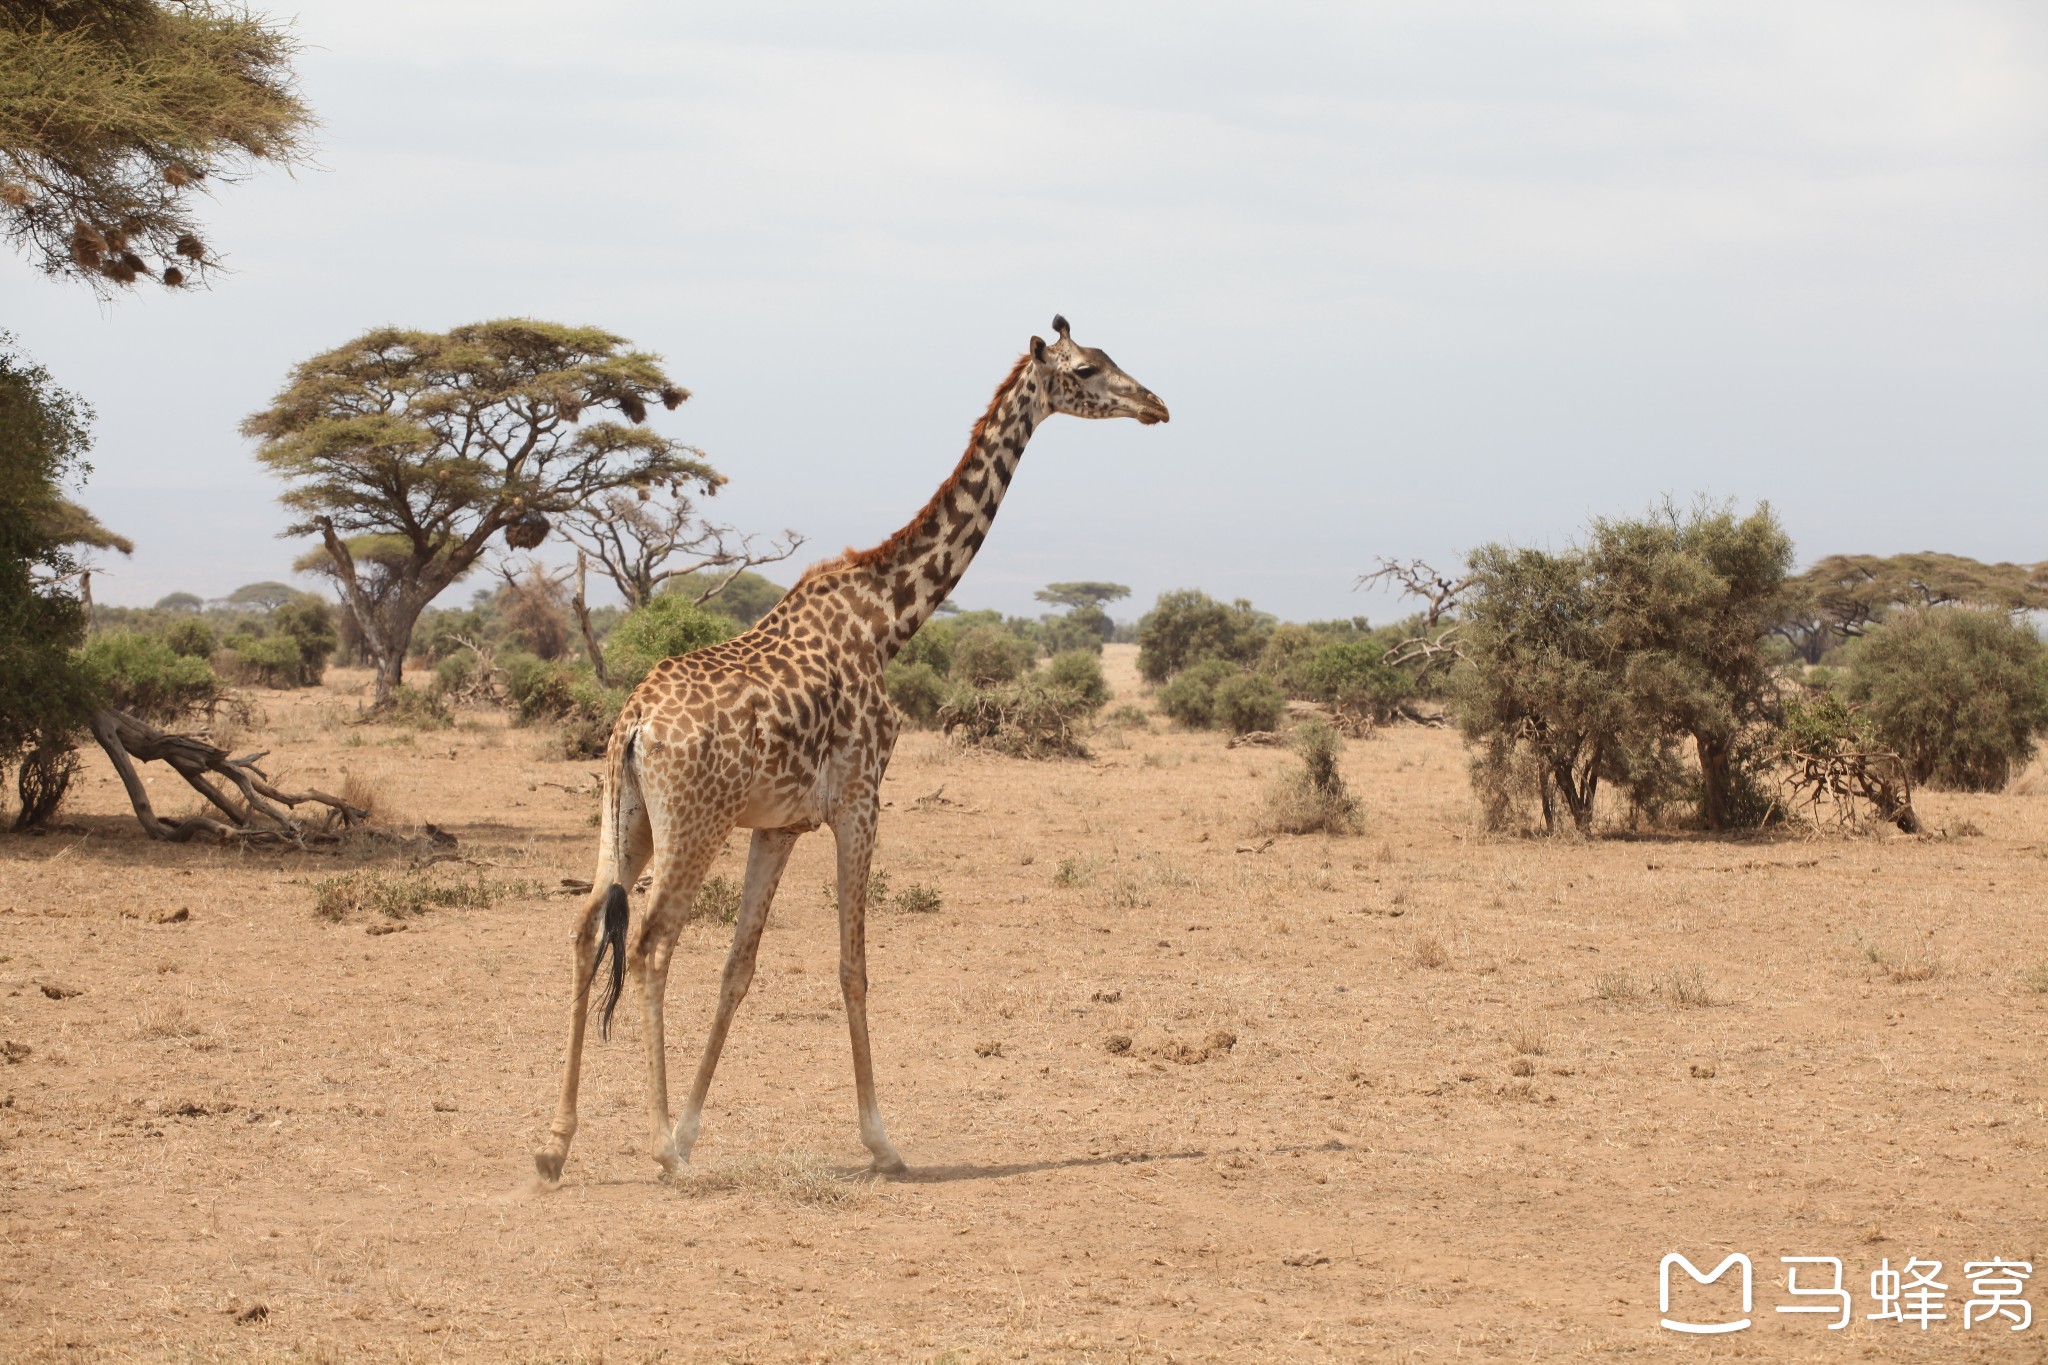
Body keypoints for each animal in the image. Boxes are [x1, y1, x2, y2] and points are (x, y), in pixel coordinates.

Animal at [532, 315, 1171, 1178]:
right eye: (1086, 369)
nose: (1156, 404)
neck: (888, 619)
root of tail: (633, 724)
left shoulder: (779, 824)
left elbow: (740, 967)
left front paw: (696, 1123)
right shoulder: (861, 800)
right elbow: (853, 966)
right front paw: (881, 1139)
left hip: (624, 817)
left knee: (584, 928)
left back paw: (556, 1143)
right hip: (693, 824)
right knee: (652, 944)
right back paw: (661, 1147)